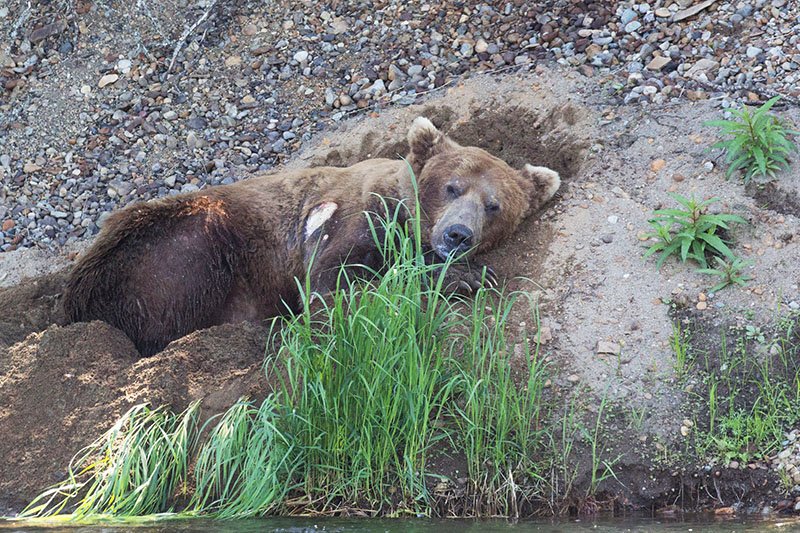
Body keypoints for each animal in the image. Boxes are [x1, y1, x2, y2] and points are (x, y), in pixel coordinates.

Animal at [64, 118, 564, 356]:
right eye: (452, 187)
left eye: (494, 205)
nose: (458, 234)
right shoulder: (348, 220)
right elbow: (337, 280)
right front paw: (468, 276)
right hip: (172, 250)